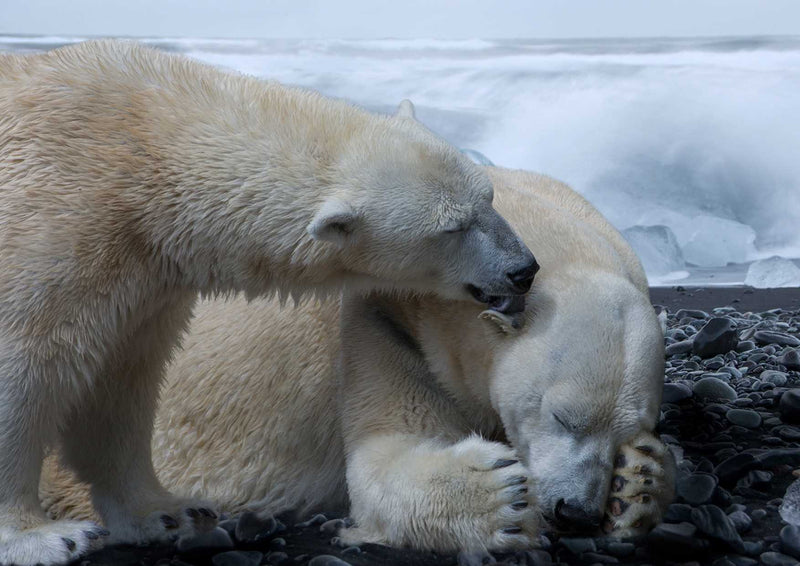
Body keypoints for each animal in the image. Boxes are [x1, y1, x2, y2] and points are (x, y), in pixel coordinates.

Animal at [1, 41, 536, 566]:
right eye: (452, 227)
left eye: (489, 197)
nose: (523, 269)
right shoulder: (54, 227)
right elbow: (24, 370)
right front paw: (43, 537)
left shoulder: (142, 279)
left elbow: (120, 384)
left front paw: (168, 513)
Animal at [42, 165, 676, 556]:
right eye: (562, 416)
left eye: (632, 427)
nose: (575, 511)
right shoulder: (383, 321)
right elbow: (385, 456)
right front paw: (500, 497)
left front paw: (639, 482)